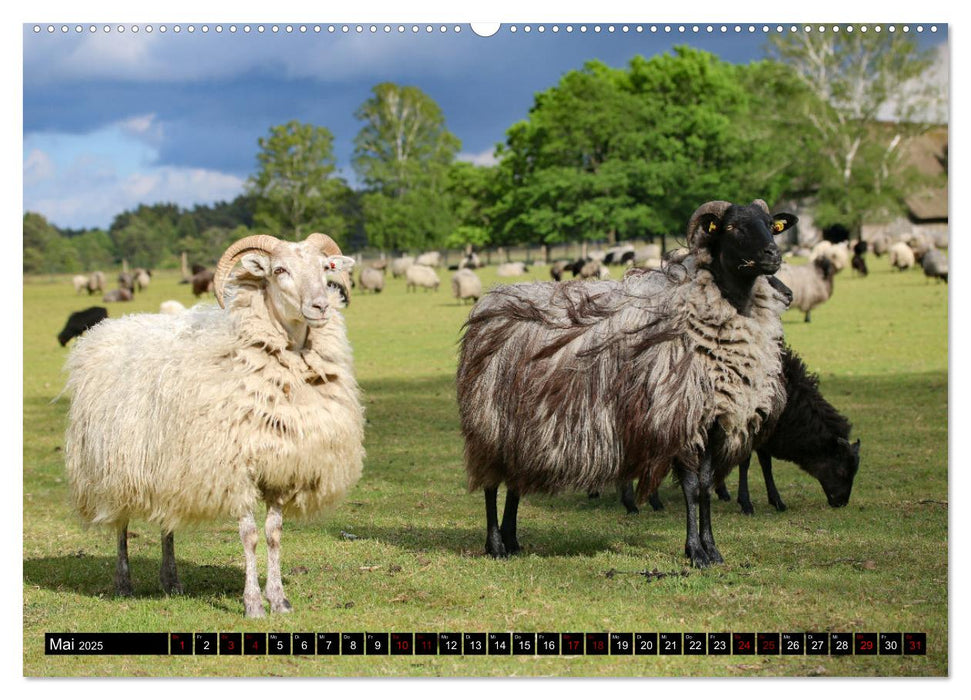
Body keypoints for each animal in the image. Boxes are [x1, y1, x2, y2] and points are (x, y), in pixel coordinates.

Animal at [64, 231, 366, 616]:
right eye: (279, 270)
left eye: (326, 267)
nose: (320, 306)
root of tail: (108, 327)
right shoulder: (235, 468)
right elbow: (250, 536)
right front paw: (253, 604)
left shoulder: (282, 467)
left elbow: (274, 534)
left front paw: (278, 599)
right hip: (114, 467)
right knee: (120, 524)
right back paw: (123, 584)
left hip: (167, 468)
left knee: (166, 521)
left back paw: (172, 581)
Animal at [456, 198, 796, 568]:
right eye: (732, 227)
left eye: (771, 224)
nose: (773, 255)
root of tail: (490, 301)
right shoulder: (678, 417)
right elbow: (692, 488)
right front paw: (695, 552)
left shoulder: (712, 421)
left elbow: (706, 486)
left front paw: (712, 549)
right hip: (491, 423)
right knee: (492, 484)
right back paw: (496, 545)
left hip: (520, 428)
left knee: (514, 482)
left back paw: (512, 540)